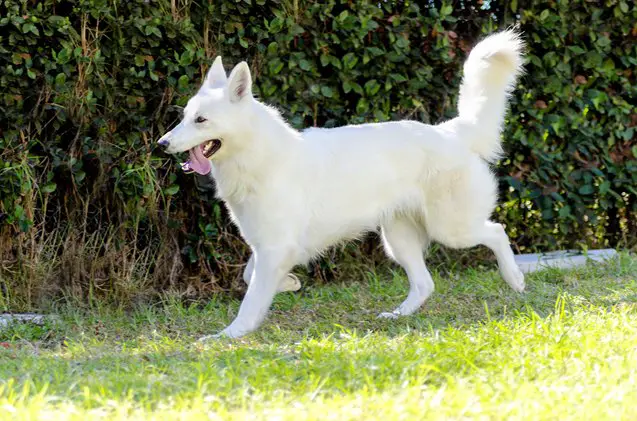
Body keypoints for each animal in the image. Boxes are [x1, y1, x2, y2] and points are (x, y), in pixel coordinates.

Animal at [157, 28, 524, 338]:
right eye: (185, 117)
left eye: (201, 120)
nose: (161, 143)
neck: (259, 156)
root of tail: (451, 131)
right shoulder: (269, 247)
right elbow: (251, 277)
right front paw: (289, 283)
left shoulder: (275, 247)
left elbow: (250, 301)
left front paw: (230, 335)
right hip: (398, 239)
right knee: (425, 284)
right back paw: (398, 315)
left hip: (451, 229)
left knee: (497, 231)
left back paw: (515, 279)